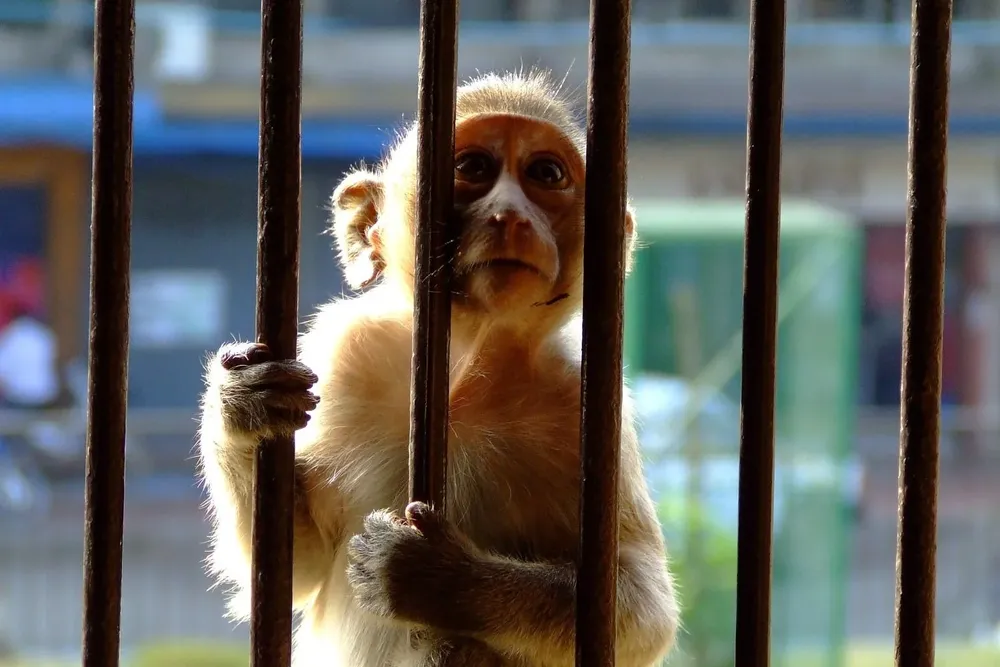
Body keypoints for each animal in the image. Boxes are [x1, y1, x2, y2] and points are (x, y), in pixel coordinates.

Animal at [197, 69, 679, 667]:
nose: (511, 215)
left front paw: (439, 578)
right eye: (471, 167)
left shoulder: (584, 408)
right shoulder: (345, 357)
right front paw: (240, 406)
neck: (461, 371)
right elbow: (298, 565)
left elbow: (639, 607)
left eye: (545, 174)